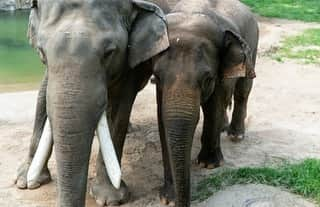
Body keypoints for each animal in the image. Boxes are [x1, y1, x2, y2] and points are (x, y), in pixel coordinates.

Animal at [15, 0, 170, 207]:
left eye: (109, 53)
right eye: (41, 52)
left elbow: (119, 110)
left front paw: (110, 199)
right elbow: (43, 96)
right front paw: (26, 182)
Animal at [151, 0, 258, 206]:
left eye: (208, 79)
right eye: (156, 77)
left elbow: (213, 107)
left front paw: (209, 164)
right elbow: (163, 119)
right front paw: (168, 198)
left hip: (253, 42)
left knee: (243, 90)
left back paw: (236, 135)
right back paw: (224, 128)